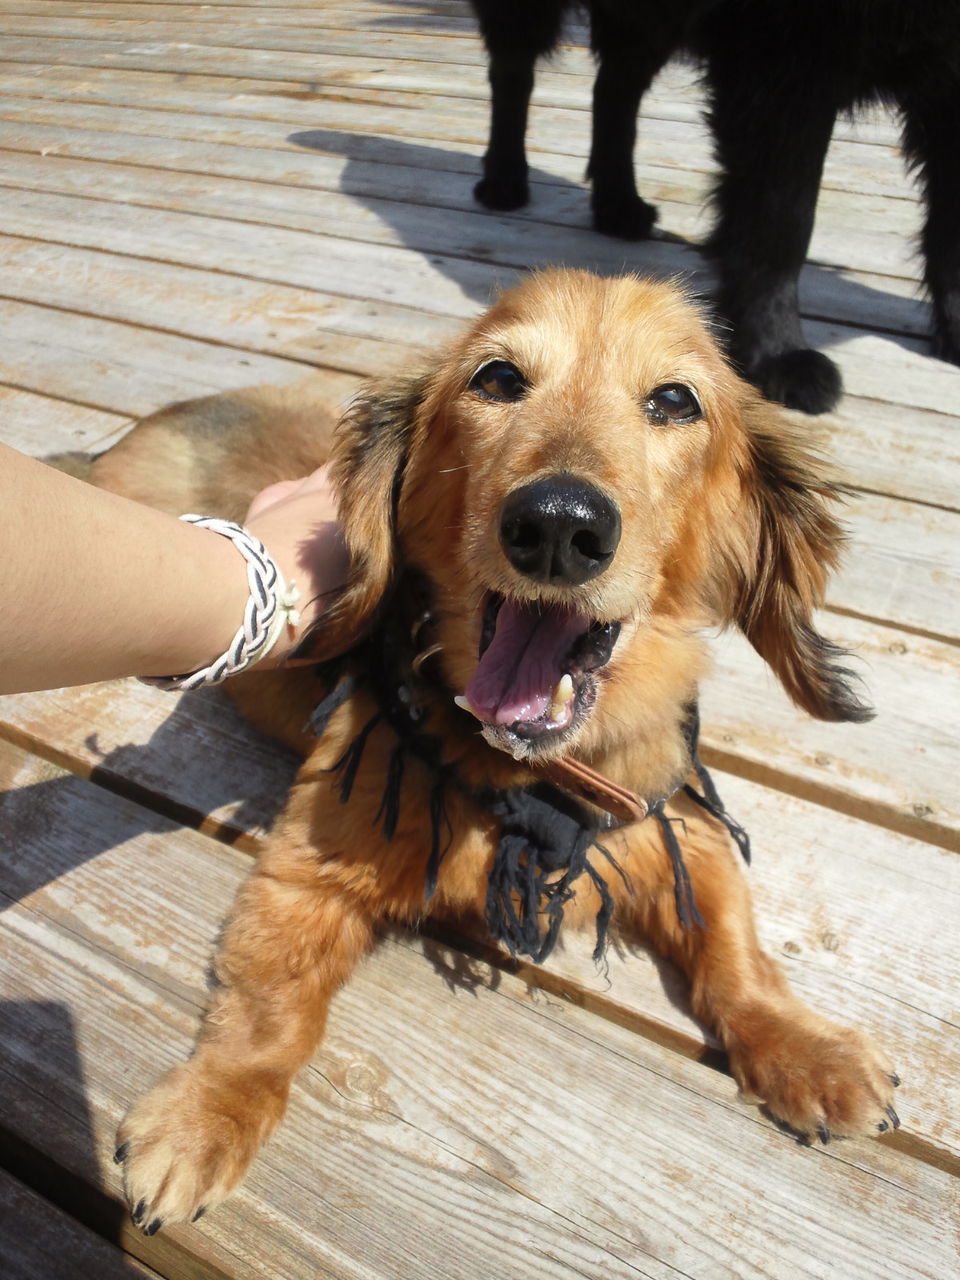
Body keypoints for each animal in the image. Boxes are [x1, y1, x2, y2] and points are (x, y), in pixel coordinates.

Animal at [99, 272, 898, 1231]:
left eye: (676, 400)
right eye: (498, 379)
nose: (558, 524)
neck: (533, 781)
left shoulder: (679, 833)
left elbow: (738, 958)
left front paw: (808, 1047)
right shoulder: (305, 873)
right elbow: (267, 1019)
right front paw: (204, 1112)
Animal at [469, 0, 960, 414]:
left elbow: (948, 235)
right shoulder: (787, 62)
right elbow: (782, 221)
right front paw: (778, 349)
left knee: (614, 88)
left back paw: (619, 204)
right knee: (512, 71)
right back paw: (504, 178)